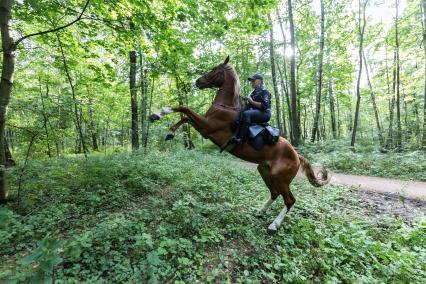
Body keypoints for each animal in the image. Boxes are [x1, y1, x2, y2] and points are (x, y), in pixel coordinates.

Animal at [150, 56, 330, 235]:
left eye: (215, 69)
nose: (198, 81)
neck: (226, 107)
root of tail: (296, 155)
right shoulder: (205, 126)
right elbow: (185, 116)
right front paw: (169, 132)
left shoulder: (207, 127)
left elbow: (184, 109)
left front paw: (158, 113)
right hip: (265, 171)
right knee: (275, 193)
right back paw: (260, 211)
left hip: (280, 178)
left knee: (289, 200)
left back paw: (273, 225)